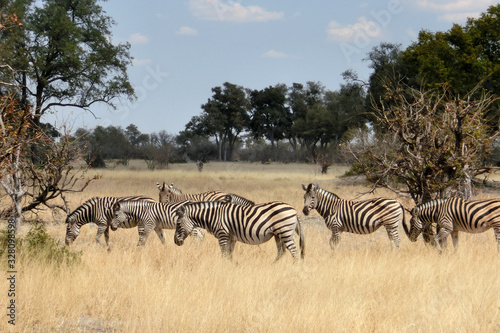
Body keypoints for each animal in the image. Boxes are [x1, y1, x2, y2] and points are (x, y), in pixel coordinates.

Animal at [174, 200, 302, 262]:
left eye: (178, 223)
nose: (175, 242)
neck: (213, 216)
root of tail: (294, 210)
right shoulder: (231, 237)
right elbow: (229, 254)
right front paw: (234, 265)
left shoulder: (222, 235)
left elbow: (224, 254)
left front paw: (223, 268)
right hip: (279, 234)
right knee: (282, 252)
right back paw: (272, 266)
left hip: (284, 232)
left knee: (294, 251)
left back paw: (295, 267)